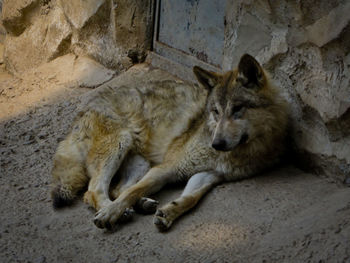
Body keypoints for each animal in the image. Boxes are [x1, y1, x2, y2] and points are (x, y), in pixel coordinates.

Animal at [51, 54, 288, 231]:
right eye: (216, 111)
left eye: (238, 109)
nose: (217, 144)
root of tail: (82, 113)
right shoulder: (168, 167)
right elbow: (133, 191)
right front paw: (111, 213)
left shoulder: (210, 175)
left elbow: (192, 197)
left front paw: (169, 212)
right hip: (121, 145)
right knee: (95, 191)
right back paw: (117, 210)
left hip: (141, 163)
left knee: (118, 188)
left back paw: (142, 205)